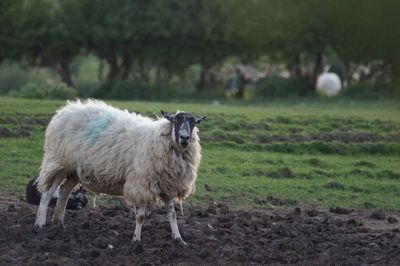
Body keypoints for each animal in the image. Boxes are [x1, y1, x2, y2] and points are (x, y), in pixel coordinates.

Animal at [34, 99, 206, 245]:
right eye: (175, 121)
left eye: (193, 123)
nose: (184, 138)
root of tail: (64, 110)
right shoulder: (140, 184)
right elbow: (140, 217)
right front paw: (136, 240)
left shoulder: (167, 185)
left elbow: (172, 215)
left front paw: (179, 239)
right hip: (59, 162)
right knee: (47, 193)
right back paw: (40, 224)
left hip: (74, 170)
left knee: (64, 191)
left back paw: (59, 224)